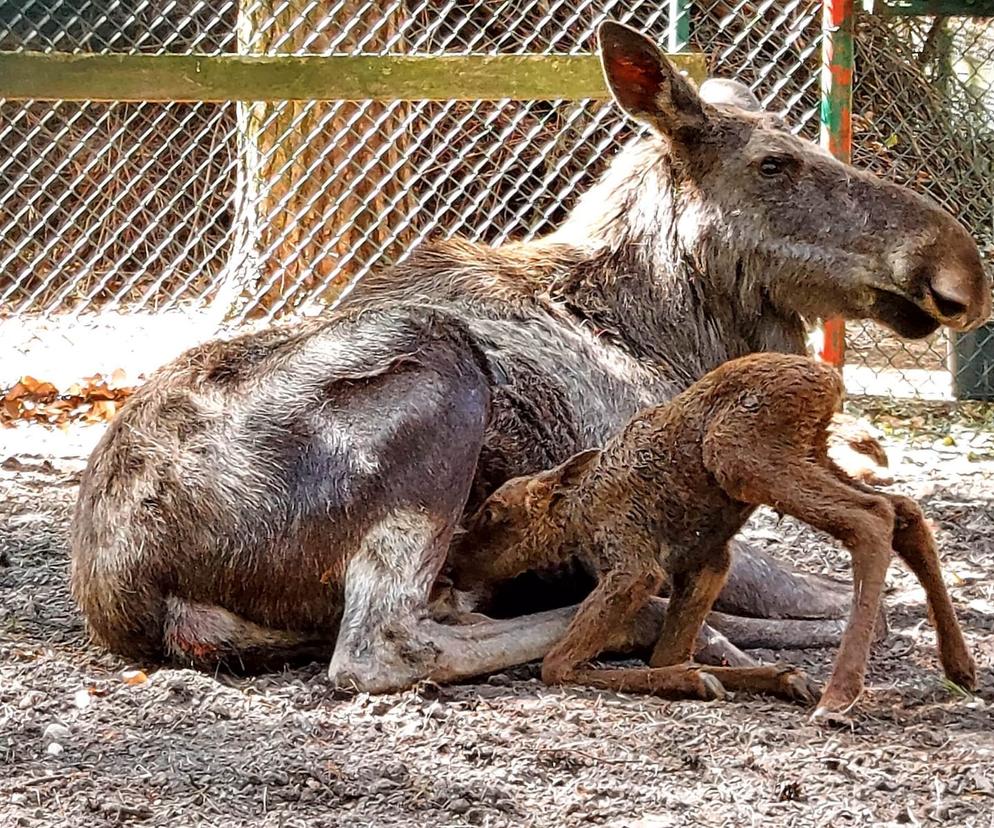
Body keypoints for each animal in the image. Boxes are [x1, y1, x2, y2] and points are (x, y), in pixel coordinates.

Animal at [452, 352, 976, 720]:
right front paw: (772, 676)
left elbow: (557, 664)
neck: (577, 519)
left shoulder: (634, 564)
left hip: (743, 457)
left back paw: (838, 696)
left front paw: (698, 680)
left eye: (493, 514)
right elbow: (666, 653)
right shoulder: (706, 562)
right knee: (903, 508)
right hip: (811, 454)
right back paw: (959, 668)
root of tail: (831, 383)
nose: (454, 566)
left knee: (871, 518)